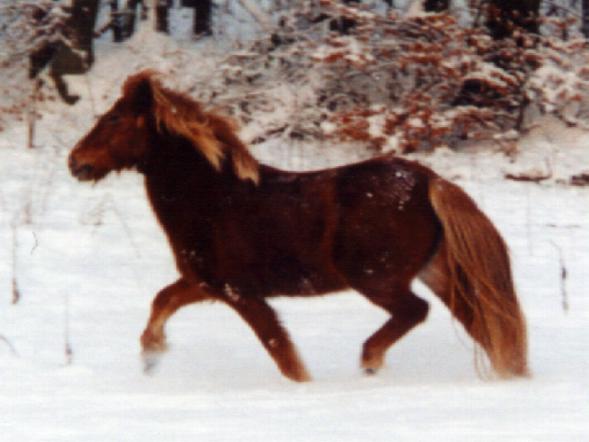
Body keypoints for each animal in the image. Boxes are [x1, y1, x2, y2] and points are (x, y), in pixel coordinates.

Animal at [69, 71, 528, 382]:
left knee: (417, 312)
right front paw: (151, 357)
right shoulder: (205, 282)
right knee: (482, 325)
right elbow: (162, 300)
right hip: (439, 275)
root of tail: (429, 181)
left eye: (114, 120)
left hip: (377, 278)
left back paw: (370, 361)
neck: (213, 198)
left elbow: (283, 354)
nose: (76, 162)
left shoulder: (238, 290)